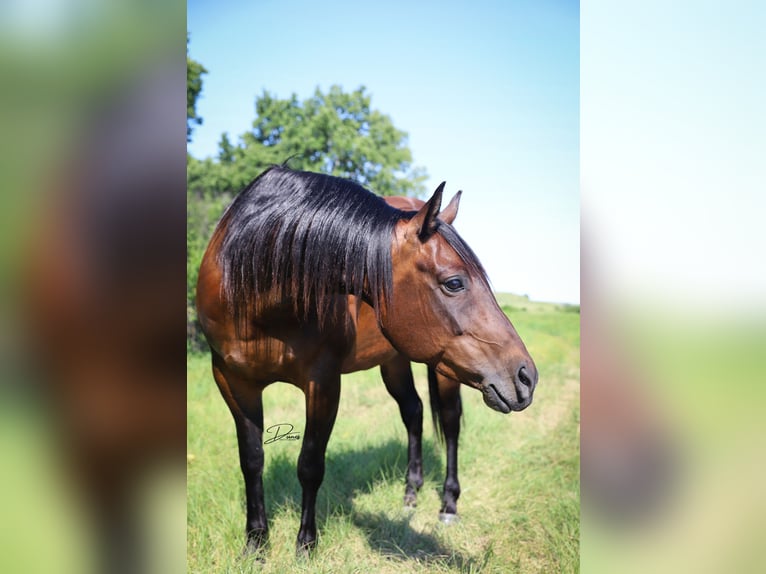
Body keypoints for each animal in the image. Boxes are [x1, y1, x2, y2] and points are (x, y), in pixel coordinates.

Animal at [195, 168, 536, 560]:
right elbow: (251, 461)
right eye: (454, 282)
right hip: (395, 360)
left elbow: (310, 464)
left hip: (443, 370)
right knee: (414, 412)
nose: (526, 376)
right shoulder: (233, 381)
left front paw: (305, 546)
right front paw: (255, 544)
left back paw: (448, 505)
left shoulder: (323, 382)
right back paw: (410, 492)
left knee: (449, 423)